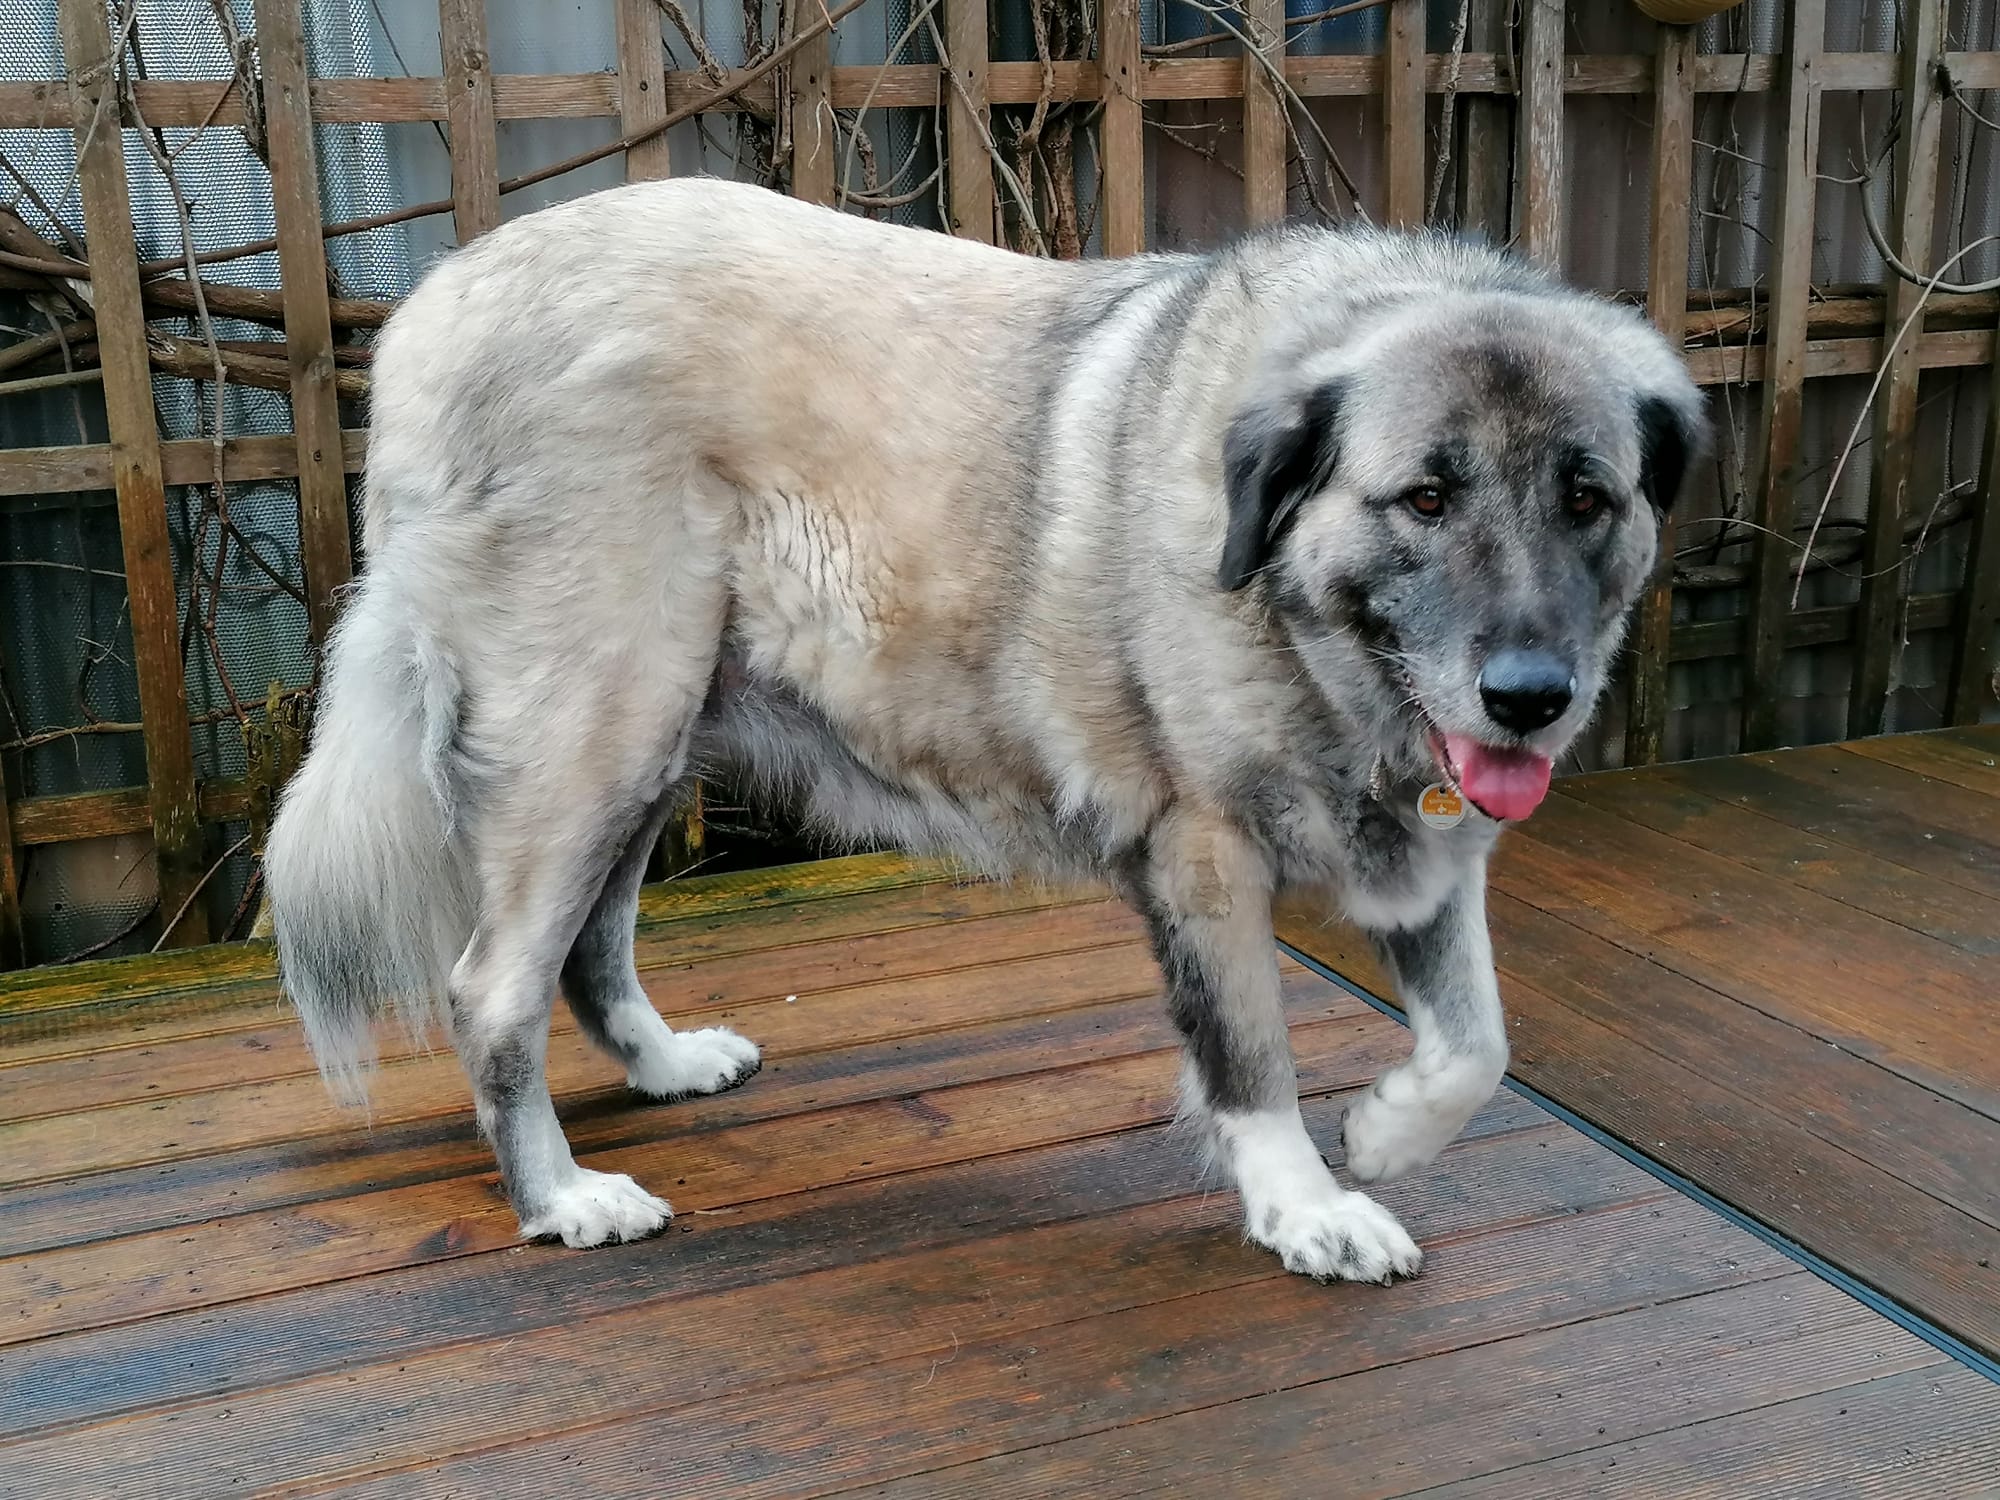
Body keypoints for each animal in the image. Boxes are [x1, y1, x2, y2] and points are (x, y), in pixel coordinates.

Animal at [262, 176, 1702, 1281]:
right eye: (1425, 498)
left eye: (1588, 497)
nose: (1530, 696)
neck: (1299, 623)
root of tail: (434, 303)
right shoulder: (1200, 857)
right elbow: (1253, 1060)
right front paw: (1304, 1205)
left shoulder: (1434, 847)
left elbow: (1477, 1043)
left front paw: (1393, 1134)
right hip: (596, 735)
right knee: (493, 984)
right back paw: (559, 1199)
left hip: (648, 742)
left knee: (585, 947)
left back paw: (663, 1066)